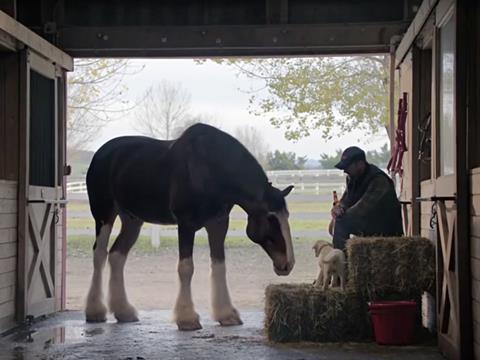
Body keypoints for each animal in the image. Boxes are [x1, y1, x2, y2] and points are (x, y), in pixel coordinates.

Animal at [85, 125, 294, 330]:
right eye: (271, 218)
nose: (288, 264)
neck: (210, 169)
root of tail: (101, 154)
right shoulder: (186, 225)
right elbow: (186, 268)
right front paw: (187, 318)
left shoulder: (218, 224)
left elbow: (219, 265)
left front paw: (226, 314)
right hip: (104, 215)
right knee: (100, 254)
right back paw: (95, 311)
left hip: (132, 220)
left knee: (116, 256)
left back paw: (124, 312)